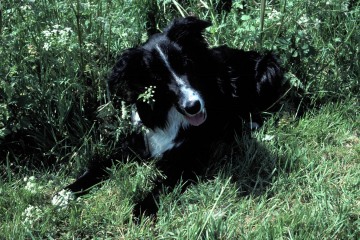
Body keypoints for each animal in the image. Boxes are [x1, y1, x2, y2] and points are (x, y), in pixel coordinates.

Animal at [59, 16, 284, 216]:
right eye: (158, 78)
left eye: (186, 64)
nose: (193, 106)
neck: (169, 113)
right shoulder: (136, 143)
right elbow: (100, 165)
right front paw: (66, 192)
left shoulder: (189, 159)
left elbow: (162, 185)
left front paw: (140, 208)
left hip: (270, 68)